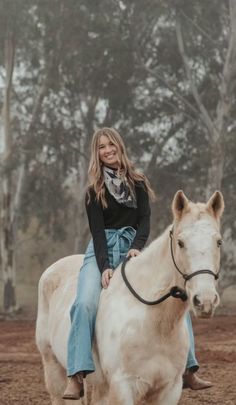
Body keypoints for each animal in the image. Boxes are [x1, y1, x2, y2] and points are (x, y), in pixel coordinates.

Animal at [36, 190, 224, 404]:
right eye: (181, 243)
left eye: (218, 242)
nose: (205, 301)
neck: (154, 321)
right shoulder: (122, 386)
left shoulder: (169, 388)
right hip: (54, 370)